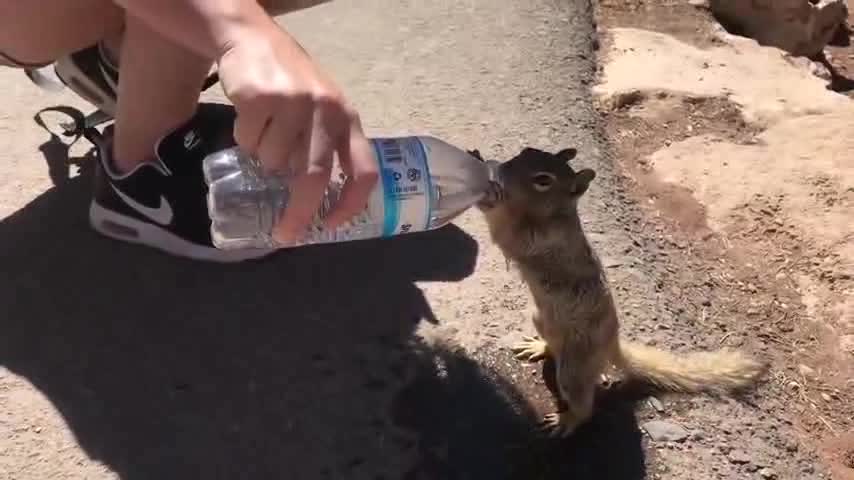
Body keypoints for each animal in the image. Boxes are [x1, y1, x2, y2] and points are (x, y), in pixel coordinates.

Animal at [472, 147, 772, 438]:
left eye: (543, 180)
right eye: (524, 152)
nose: (502, 170)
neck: (555, 214)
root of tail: (611, 342)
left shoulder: (536, 238)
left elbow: (503, 230)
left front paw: (485, 188)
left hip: (573, 367)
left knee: (583, 403)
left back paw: (567, 419)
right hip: (541, 320)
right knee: (555, 348)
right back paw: (539, 347)